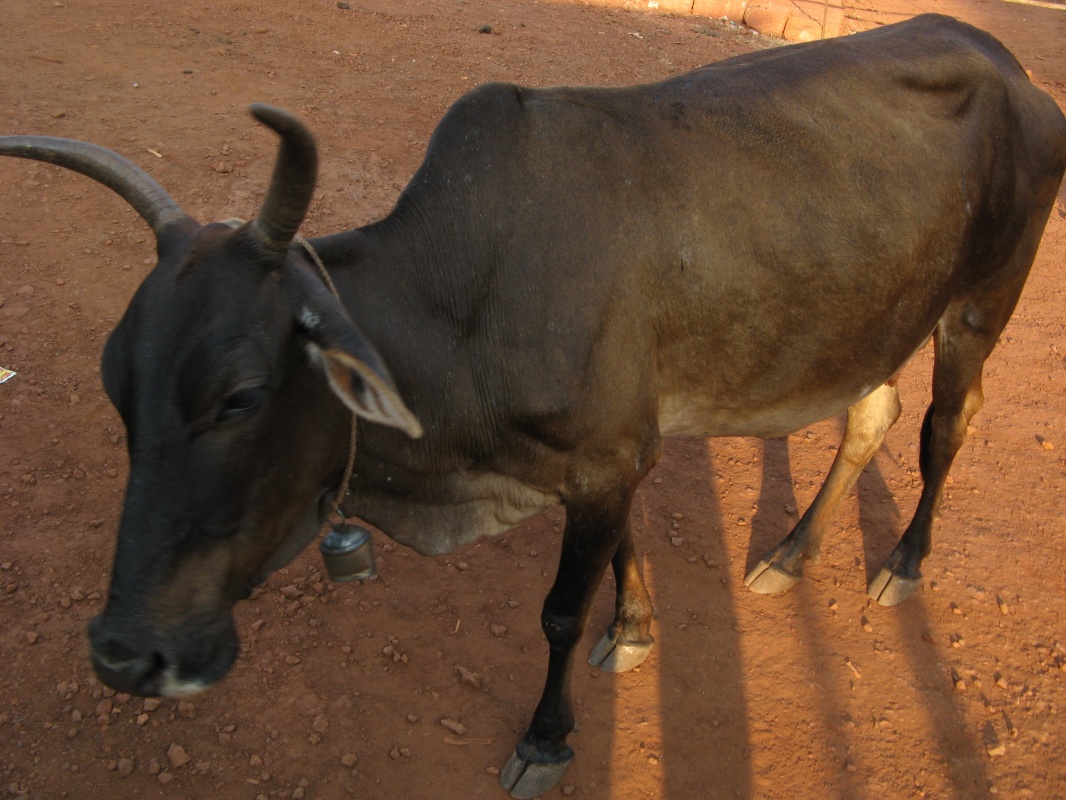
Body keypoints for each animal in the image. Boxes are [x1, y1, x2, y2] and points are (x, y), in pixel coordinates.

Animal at [1, 13, 1064, 798]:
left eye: (241, 397)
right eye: (116, 383)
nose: (127, 655)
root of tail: (1006, 60)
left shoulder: (605, 458)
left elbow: (556, 612)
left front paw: (547, 741)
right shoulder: (621, 451)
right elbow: (623, 554)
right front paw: (633, 630)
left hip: (980, 303)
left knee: (941, 430)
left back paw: (902, 564)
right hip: (876, 317)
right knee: (870, 416)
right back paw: (790, 554)